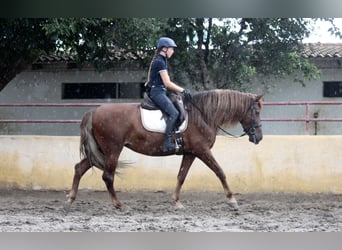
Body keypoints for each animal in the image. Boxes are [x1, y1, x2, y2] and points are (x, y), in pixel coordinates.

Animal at [67, 89, 264, 210]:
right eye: (256, 112)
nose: (259, 137)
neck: (202, 115)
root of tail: (94, 111)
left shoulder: (190, 153)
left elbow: (181, 176)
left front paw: (176, 202)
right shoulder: (202, 151)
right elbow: (220, 172)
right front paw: (232, 200)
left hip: (101, 151)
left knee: (79, 168)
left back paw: (70, 199)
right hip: (112, 150)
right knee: (107, 176)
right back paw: (119, 205)